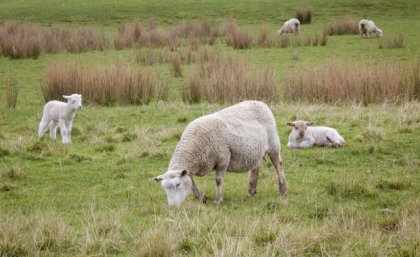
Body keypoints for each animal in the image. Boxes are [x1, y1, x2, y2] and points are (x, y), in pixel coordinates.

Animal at [153, 100, 288, 206]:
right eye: (164, 188)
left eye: (177, 184)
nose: (173, 206)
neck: (194, 147)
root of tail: (261, 103)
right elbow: (192, 183)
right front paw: (202, 198)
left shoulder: (223, 160)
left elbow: (218, 181)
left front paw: (218, 201)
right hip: (255, 150)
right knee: (255, 167)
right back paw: (251, 191)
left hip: (273, 145)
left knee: (278, 165)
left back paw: (282, 190)